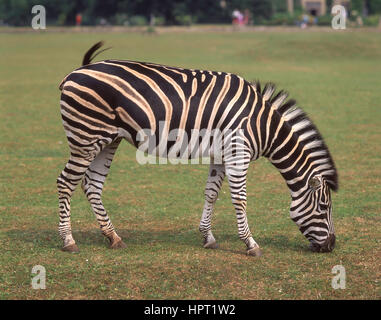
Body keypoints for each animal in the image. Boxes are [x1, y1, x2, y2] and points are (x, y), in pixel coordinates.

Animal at [56, 42, 336, 256]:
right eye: (324, 207)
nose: (332, 246)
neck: (263, 125)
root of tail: (77, 70)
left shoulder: (221, 154)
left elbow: (211, 193)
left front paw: (208, 237)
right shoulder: (238, 153)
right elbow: (240, 199)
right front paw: (251, 244)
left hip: (107, 139)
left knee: (92, 184)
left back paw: (113, 236)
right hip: (85, 136)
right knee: (66, 182)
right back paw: (68, 241)